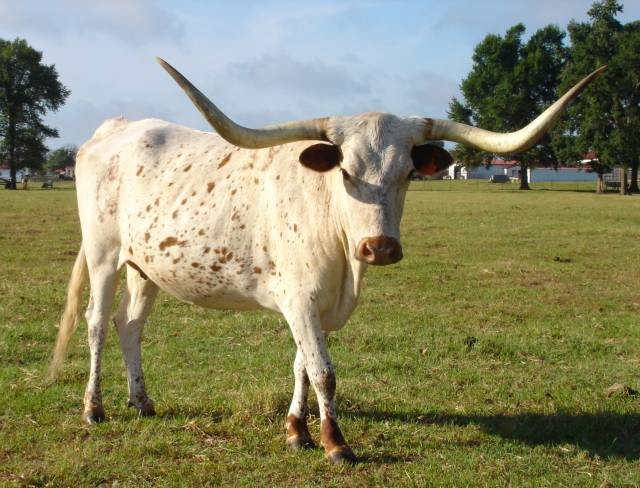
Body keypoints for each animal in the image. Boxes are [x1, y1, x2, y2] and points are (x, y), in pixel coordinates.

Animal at [49, 58, 605, 464]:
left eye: (408, 173)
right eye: (345, 171)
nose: (380, 247)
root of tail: (115, 129)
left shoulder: (314, 304)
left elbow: (301, 363)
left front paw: (297, 431)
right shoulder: (298, 299)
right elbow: (323, 371)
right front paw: (336, 443)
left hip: (146, 267)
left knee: (129, 325)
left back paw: (142, 402)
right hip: (103, 254)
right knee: (96, 322)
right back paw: (93, 409)